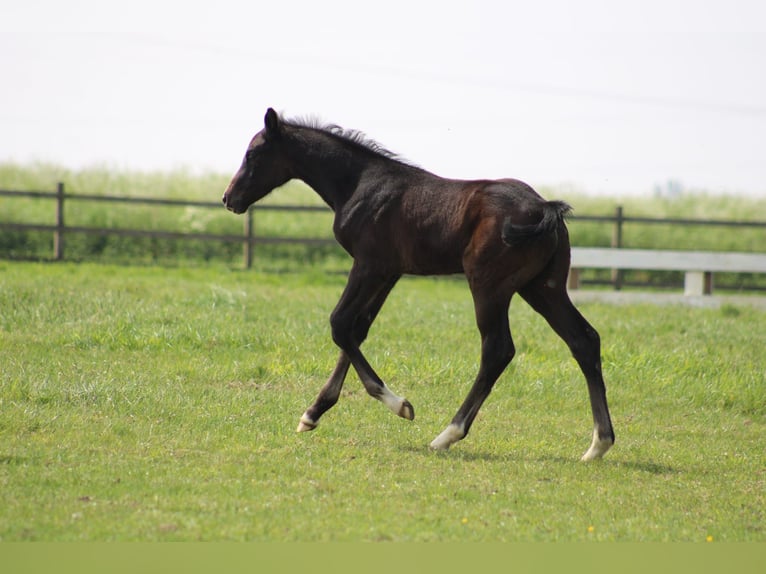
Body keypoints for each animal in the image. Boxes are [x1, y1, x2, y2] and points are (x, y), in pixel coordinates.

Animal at [224, 108, 616, 462]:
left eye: (252, 154)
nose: (229, 198)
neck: (359, 183)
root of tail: (545, 208)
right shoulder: (389, 272)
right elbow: (356, 329)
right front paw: (313, 413)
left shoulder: (368, 265)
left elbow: (339, 324)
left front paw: (399, 404)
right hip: (543, 286)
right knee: (583, 339)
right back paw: (598, 444)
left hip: (490, 286)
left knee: (497, 350)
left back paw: (447, 435)